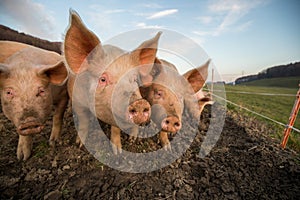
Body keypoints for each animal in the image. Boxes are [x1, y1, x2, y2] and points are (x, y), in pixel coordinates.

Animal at [63, 11, 162, 155]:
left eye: (134, 79)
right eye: (103, 79)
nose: (139, 103)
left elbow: (115, 128)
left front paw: (117, 152)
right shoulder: (78, 100)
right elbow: (83, 121)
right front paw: (79, 145)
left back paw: (133, 140)